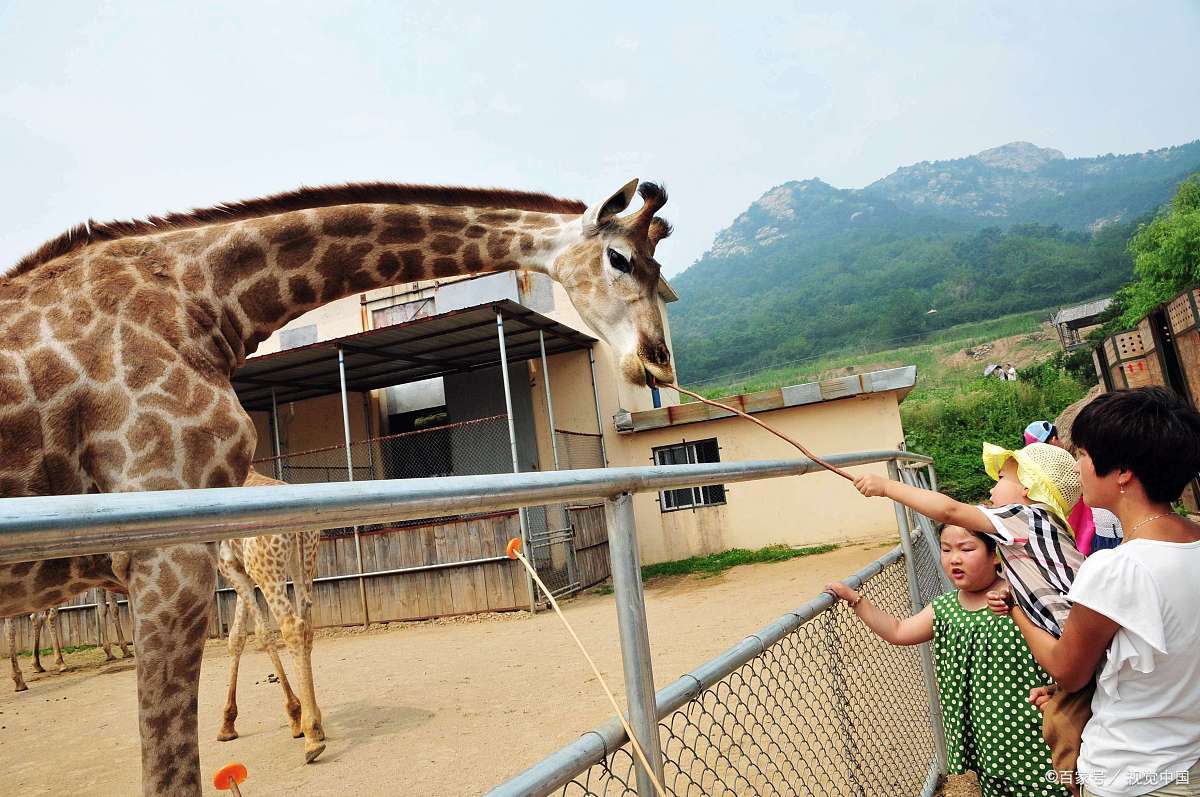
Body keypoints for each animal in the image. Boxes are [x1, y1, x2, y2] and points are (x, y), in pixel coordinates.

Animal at [213, 470, 321, 763]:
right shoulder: (243, 571)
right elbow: (236, 637)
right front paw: (227, 725)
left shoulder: (232, 568)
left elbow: (260, 634)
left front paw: (294, 714)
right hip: (304, 562)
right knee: (306, 626)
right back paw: (315, 722)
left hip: (269, 571)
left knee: (291, 626)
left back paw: (311, 733)